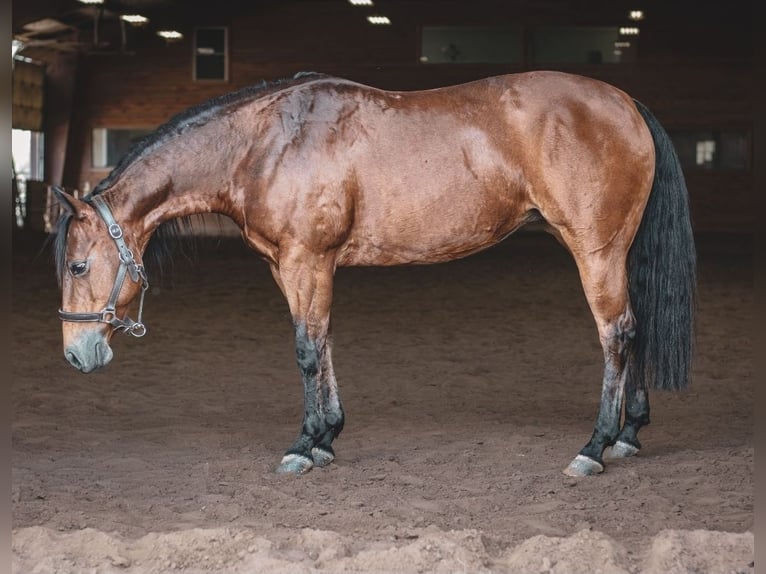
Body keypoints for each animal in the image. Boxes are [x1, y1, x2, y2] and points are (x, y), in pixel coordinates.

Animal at [53, 71, 696, 477]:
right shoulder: (295, 267)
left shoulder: (306, 260)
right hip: (610, 251)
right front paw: (327, 438)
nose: (76, 355)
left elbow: (306, 349)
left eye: (79, 264)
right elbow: (321, 342)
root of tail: (626, 103)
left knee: (616, 334)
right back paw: (629, 435)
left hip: (595, 250)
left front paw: (303, 446)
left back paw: (595, 446)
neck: (267, 142)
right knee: (634, 327)